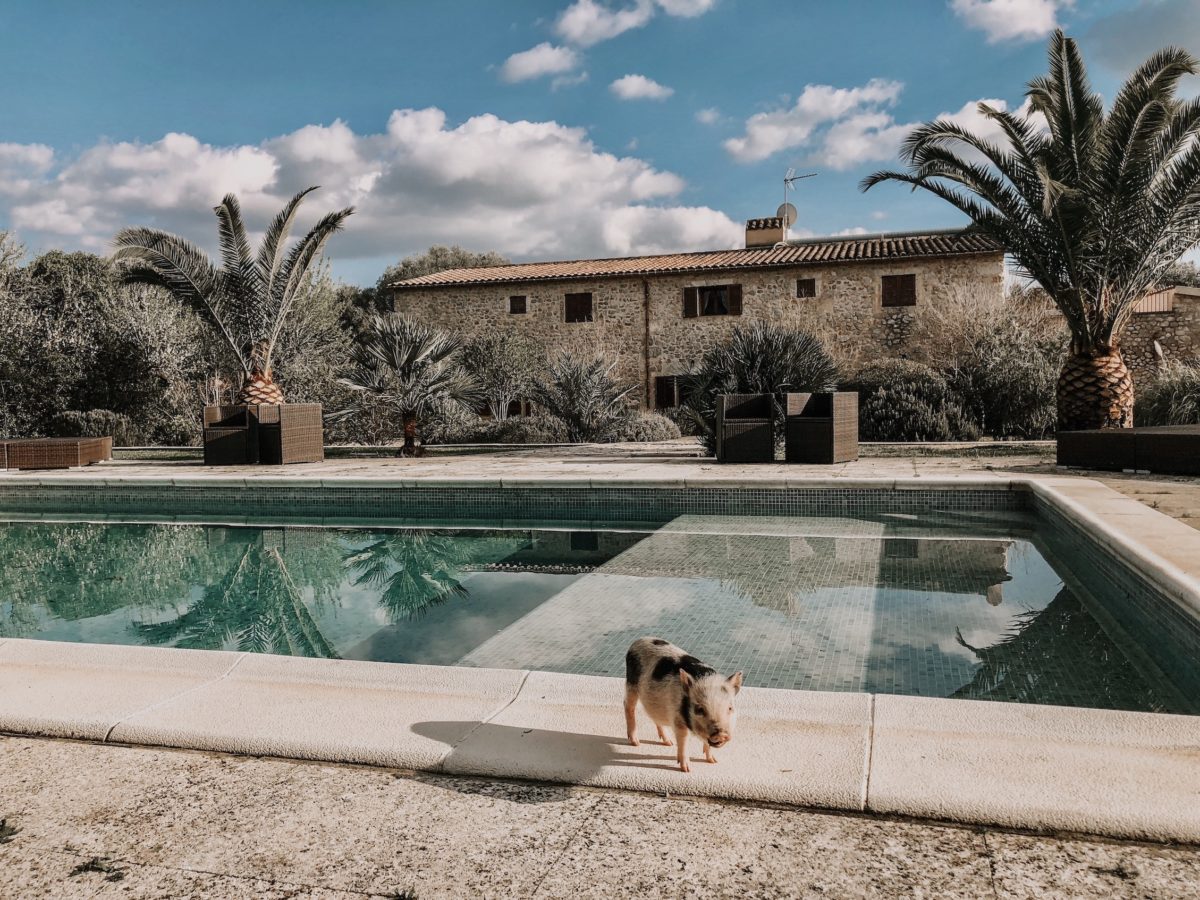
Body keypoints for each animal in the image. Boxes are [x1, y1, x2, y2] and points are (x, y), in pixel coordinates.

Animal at [628, 633, 739, 777]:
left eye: (730, 708)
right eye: (700, 709)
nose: (721, 734)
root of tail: (638, 640)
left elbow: (707, 744)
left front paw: (713, 761)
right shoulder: (678, 720)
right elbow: (683, 741)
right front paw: (686, 770)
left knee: (655, 717)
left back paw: (668, 743)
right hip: (631, 683)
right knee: (628, 706)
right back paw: (636, 743)